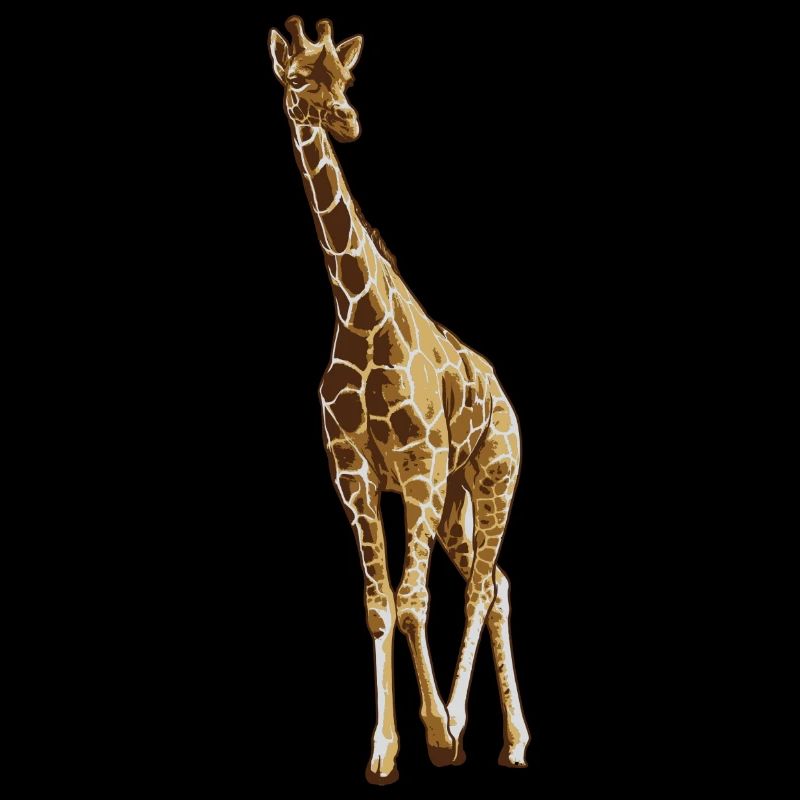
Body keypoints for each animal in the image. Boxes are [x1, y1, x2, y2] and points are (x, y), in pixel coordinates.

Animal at [268, 16, 530, 785]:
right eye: (299, 79)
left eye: (348, 77)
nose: (348, 120)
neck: (358, 314)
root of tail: (503, 394)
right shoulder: (353, 473)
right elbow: (380, 606)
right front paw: (383, 750)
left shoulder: (420, 465)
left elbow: (414, 602)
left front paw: (438, 734)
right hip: (454, 501)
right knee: (498, 582)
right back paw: (513, 742)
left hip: (490, 476)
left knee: (479, 587)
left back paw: (471, 726)